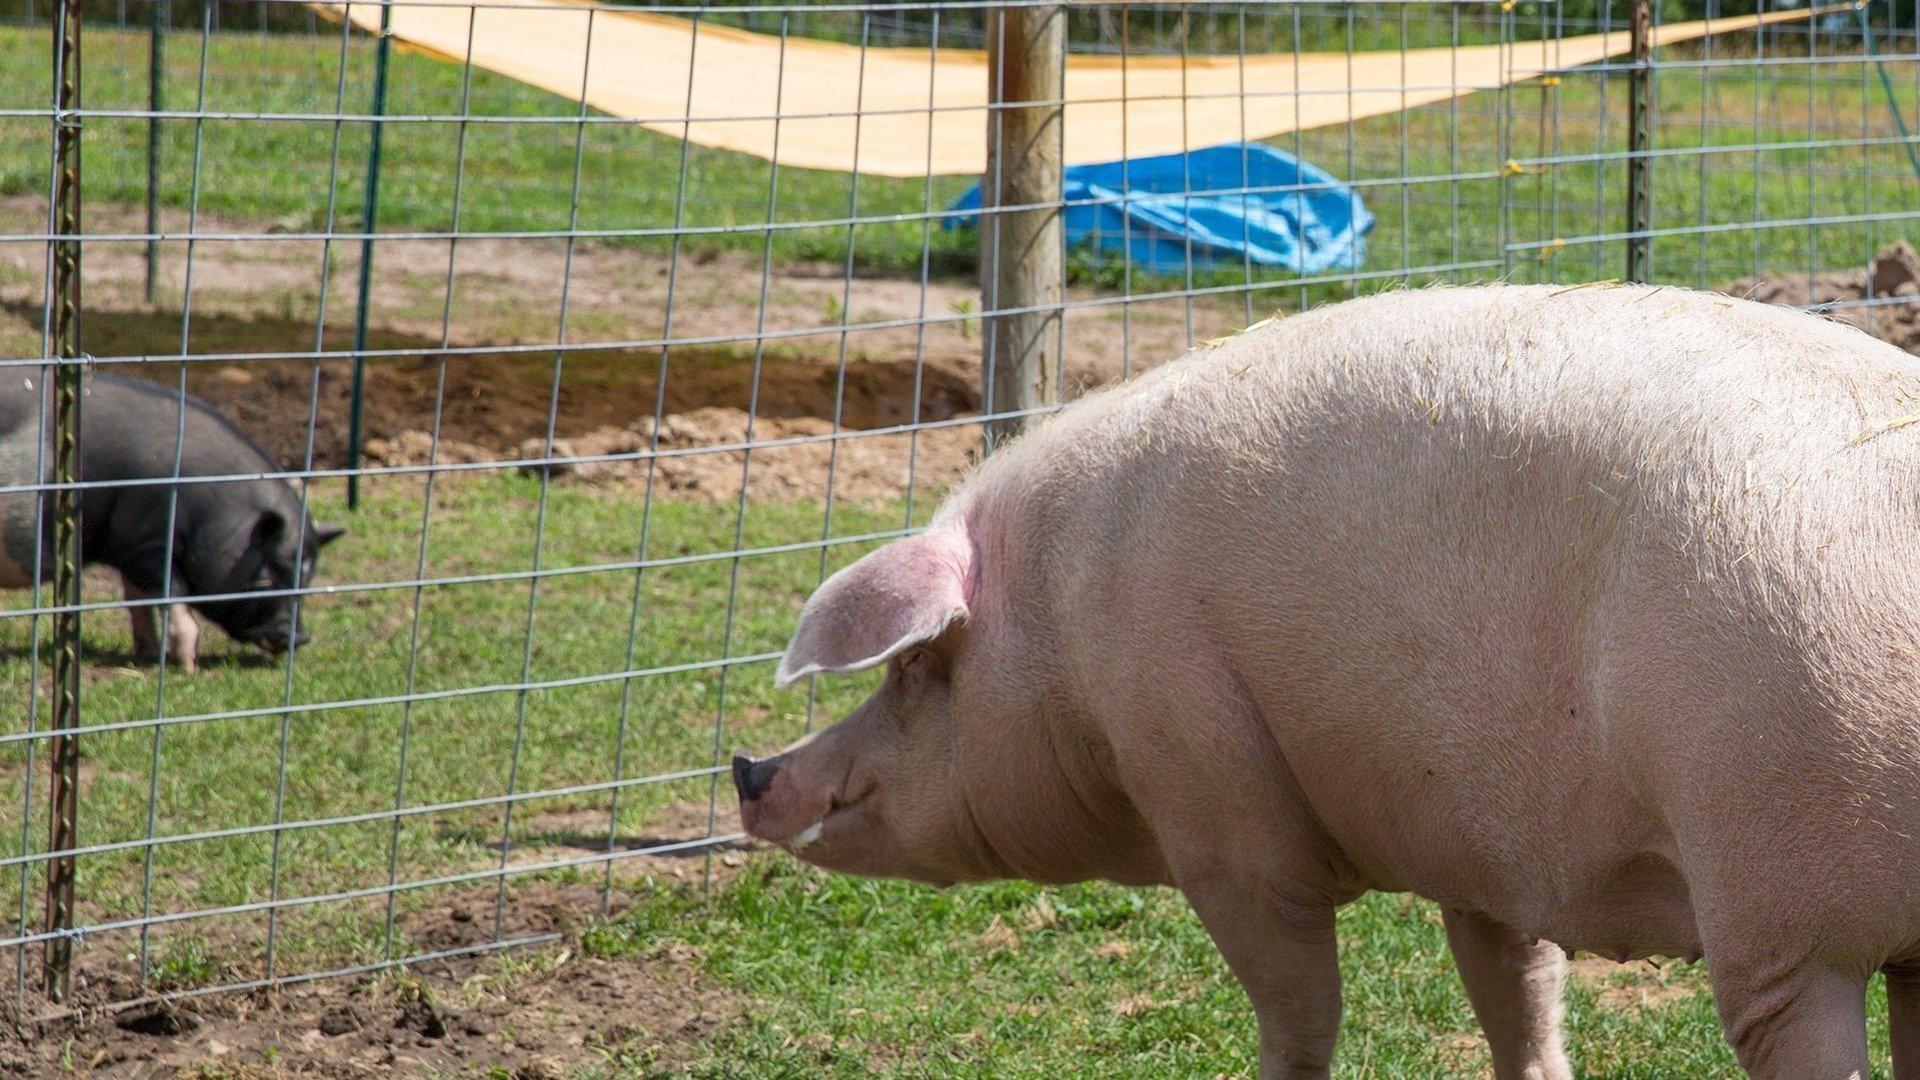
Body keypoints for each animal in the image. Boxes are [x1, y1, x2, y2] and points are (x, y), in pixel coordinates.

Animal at [0, 372, 344, 670]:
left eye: (308, 578)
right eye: (268, 574)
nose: (298, 638)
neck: (213, 512)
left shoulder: (129, 545)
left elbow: (138, 600)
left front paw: (150, 653)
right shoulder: (150, 543)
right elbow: (173, 593)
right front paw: (189, 666)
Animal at [734, 283, 1920, 1079]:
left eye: (916, 666)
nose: (750, 771)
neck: (1057, 623)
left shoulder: (1210, 799)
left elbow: (1298, 1005)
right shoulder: (1475, 840)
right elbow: (1516, 990)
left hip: (1775, 894)